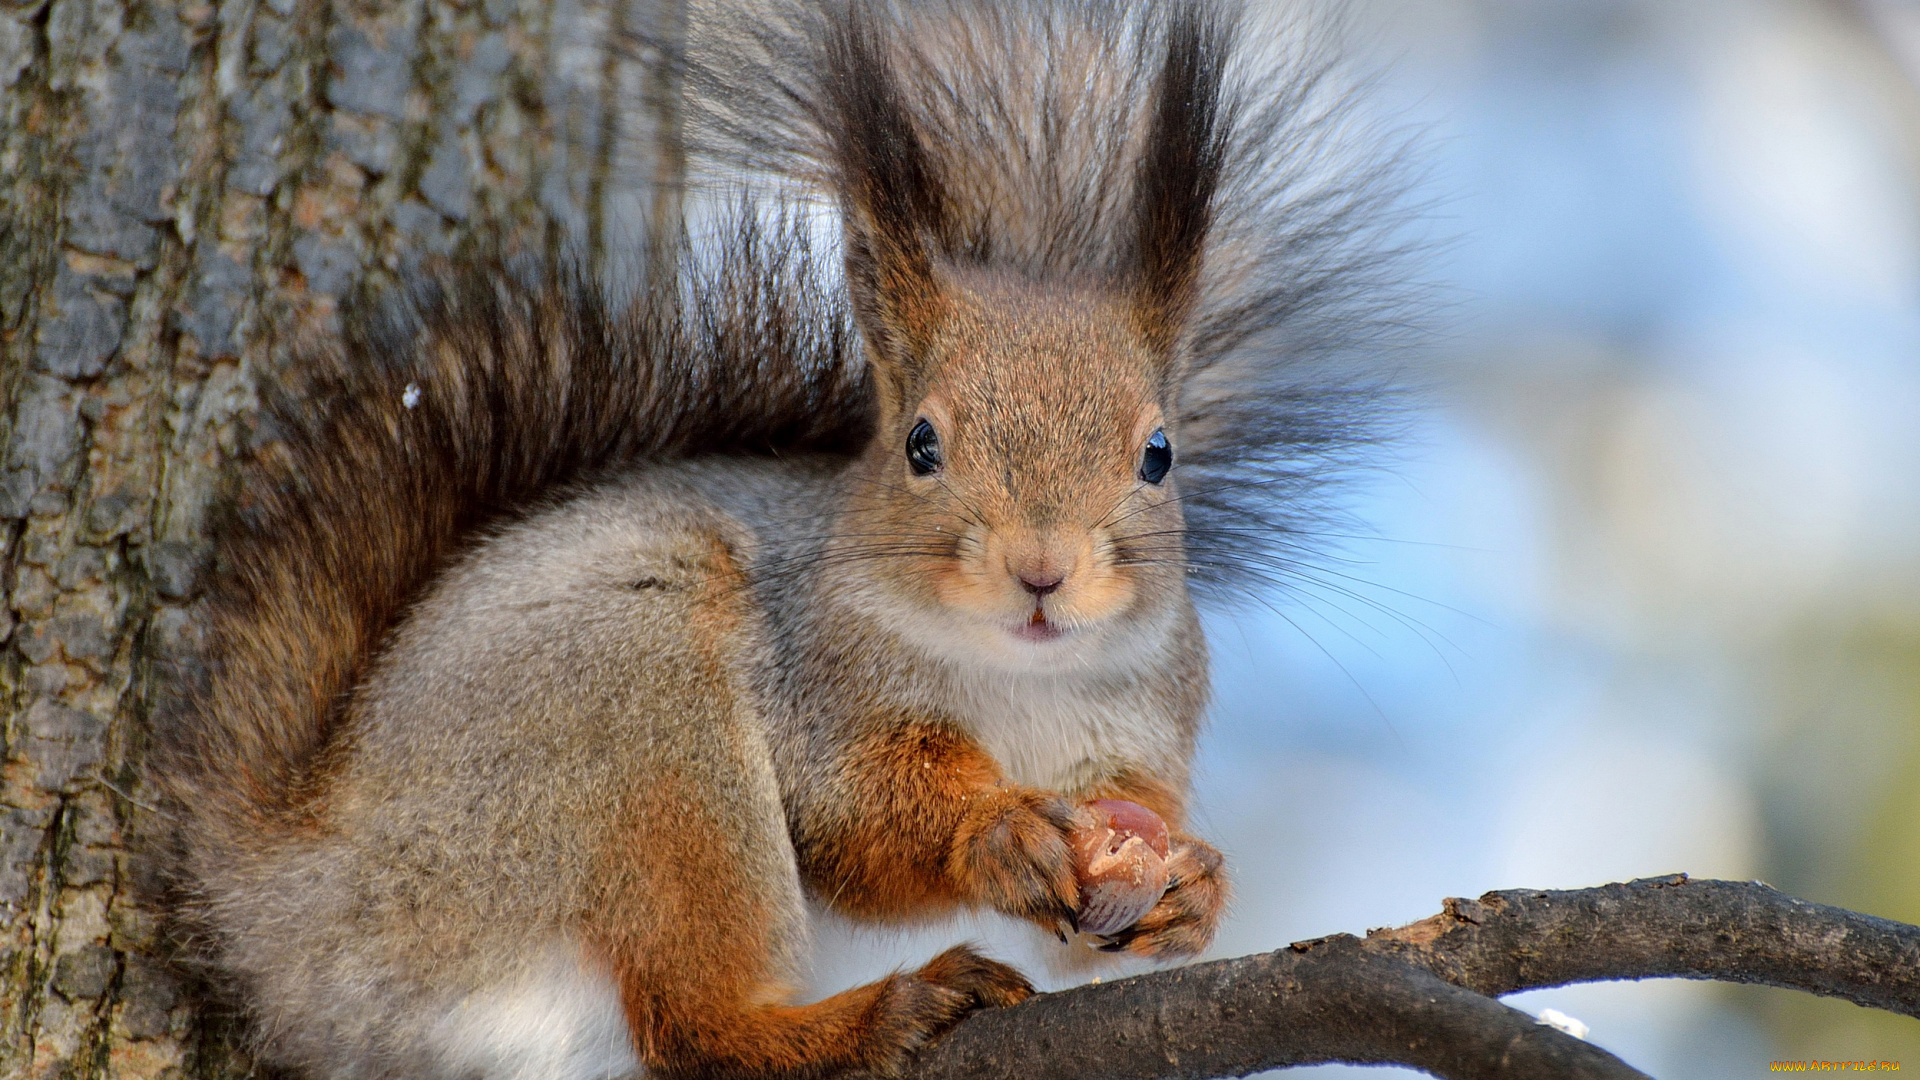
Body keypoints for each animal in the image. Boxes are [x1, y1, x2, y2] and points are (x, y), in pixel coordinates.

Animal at [153, 2, 1413, 1076]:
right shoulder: (818, 686)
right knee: (694, 1026)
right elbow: (850, 821)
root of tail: (289, 911)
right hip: (624, 724)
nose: (1042, 573)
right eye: (919, 444)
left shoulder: (1144, 725)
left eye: (1159, 454)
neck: (1017, 681)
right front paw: (995, 832)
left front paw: (1192, 885)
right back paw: (871, 1018)